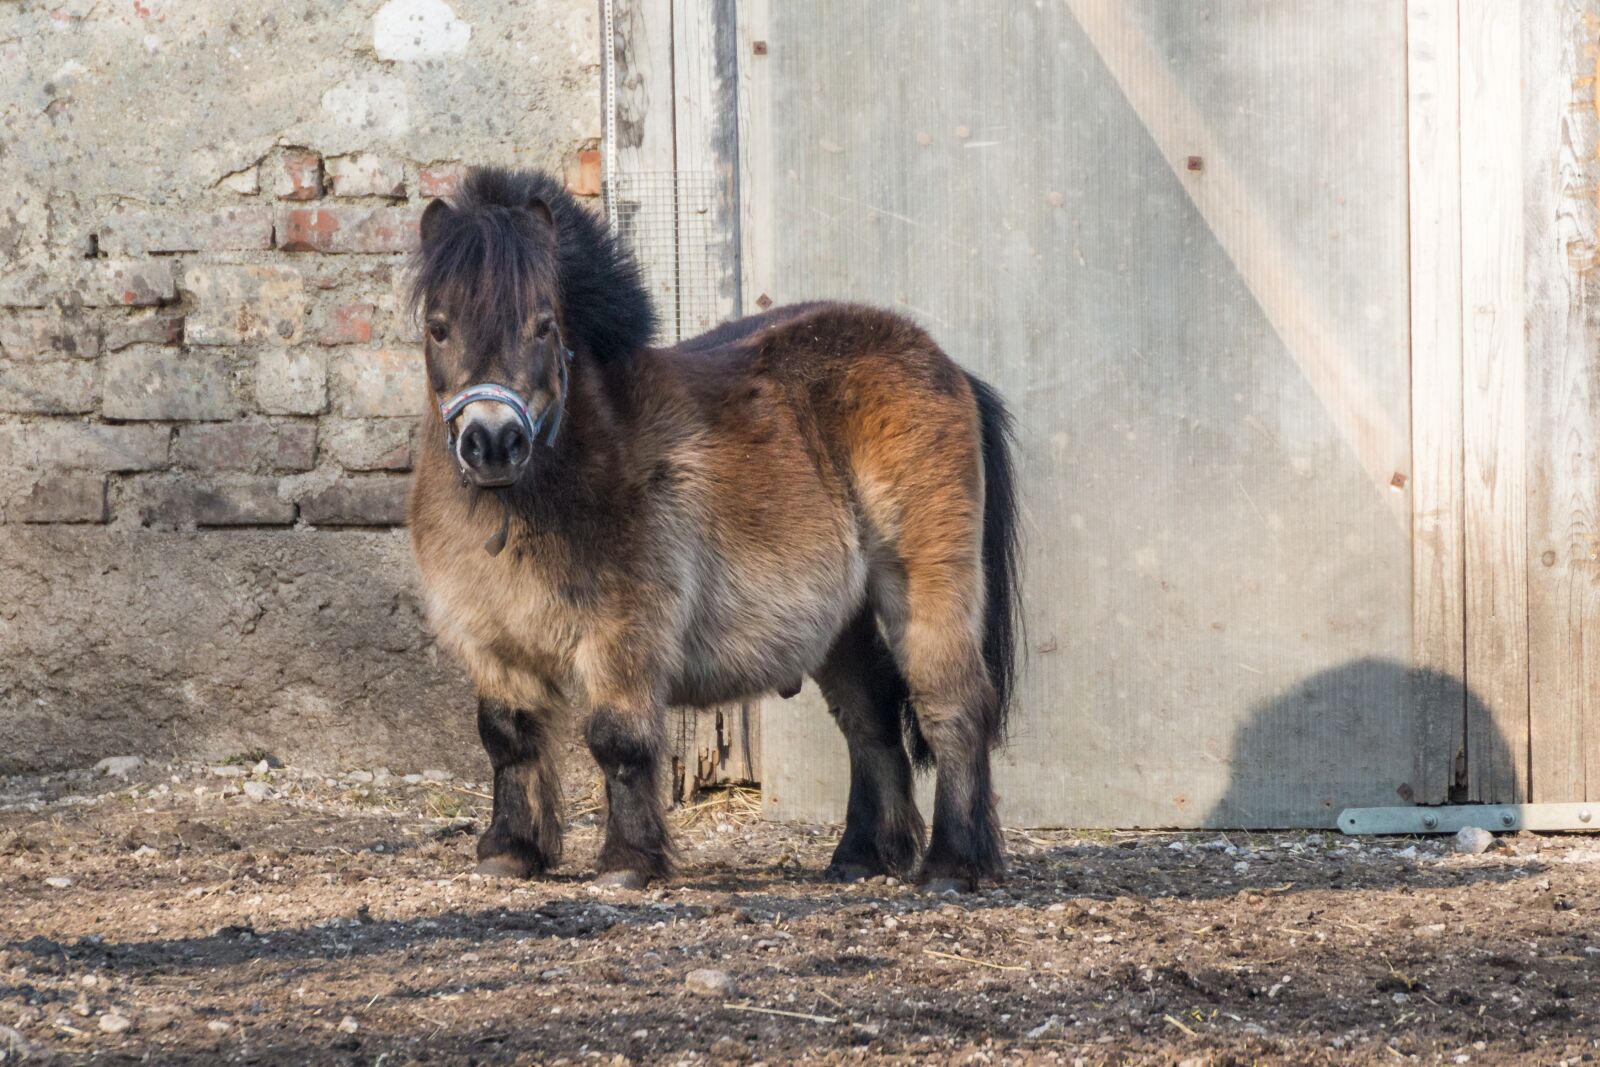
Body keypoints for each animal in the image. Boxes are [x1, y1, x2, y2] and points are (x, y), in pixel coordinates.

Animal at [406, 167, 1021, 892]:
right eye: (439, 329)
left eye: (543, 326)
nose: (493, 443)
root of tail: (943, 362)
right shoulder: (493, 642)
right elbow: (507, 738)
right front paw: (510, 850)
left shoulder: (625, 635)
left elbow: (617, 740)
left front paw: (628, 862)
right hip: (840, 623)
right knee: (869, 723)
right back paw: (859, 856)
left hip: (927, 586)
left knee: (952, 707)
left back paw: (953, 864)